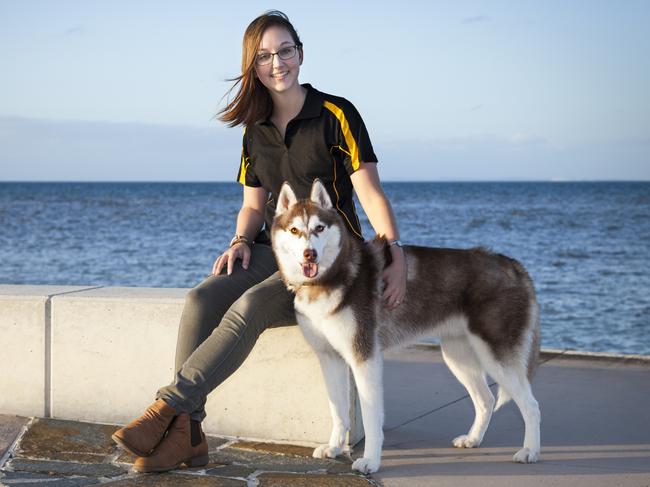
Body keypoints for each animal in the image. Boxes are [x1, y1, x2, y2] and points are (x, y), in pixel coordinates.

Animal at [268, 181, 536, 474]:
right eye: (294, 230)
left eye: (319, 228)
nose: (310, 254)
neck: (331, 277)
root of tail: (513, 264)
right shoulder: (330, 358)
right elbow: (337, 411)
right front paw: (335, 447)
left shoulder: (365, 358)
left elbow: (372, 417)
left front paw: (371, 460)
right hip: (458, 356)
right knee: (486, 399)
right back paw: (473, 439)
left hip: (496, 356)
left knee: (531, 404)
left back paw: (530, 451)